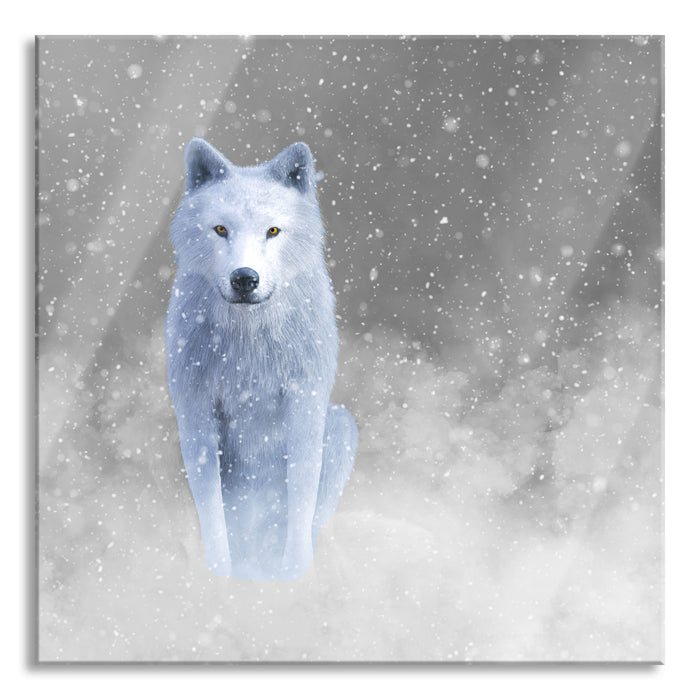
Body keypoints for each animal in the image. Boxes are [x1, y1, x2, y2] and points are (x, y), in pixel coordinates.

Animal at [165, 138, 358, 580]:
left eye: (272, 230)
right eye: (221, 229)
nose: (244, 278)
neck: (248, 345)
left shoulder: (305, 402)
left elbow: (301, 493)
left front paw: (293, 575)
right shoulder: (195, 411)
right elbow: (212, 509)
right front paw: (219, 573)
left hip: (341, 424)